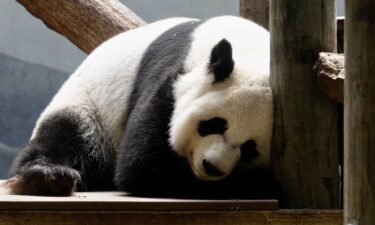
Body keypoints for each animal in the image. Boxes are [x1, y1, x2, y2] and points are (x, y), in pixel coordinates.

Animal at [7, 15, 280, 199]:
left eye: (249, 148)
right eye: (213, 124)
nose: (212, 167)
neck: (250, 50)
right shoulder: (172, 77)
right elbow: (143, 166)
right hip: (88, 106)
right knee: (68, 134)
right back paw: (48, 176)